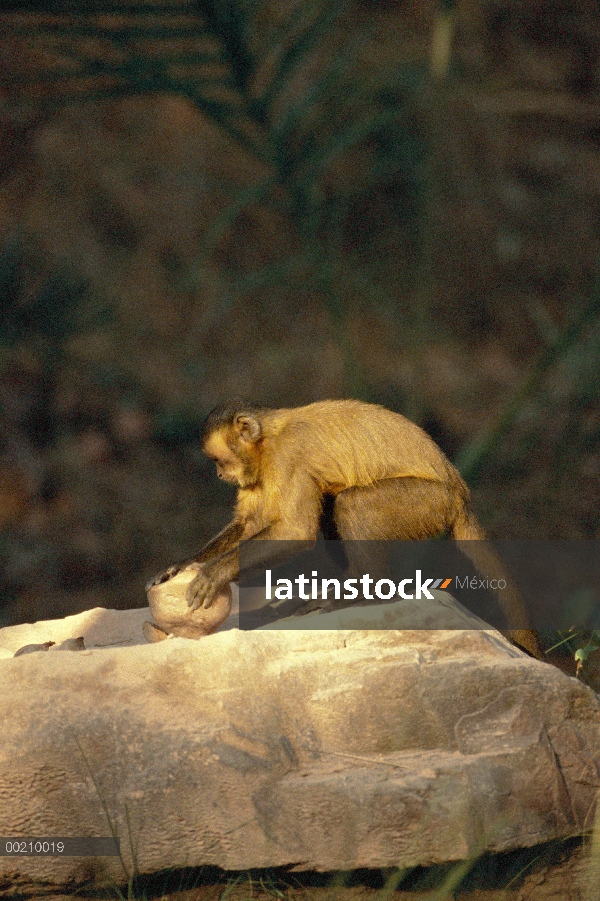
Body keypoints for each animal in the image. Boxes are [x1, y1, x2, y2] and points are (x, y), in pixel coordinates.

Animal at [148, 398, 540, 656]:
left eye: (219, 460)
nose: (219, 474)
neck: (267, 440)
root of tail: (460, 493)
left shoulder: (288, 456)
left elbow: (295, 530)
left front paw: (213, 574)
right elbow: (250, 524)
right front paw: (182, 566)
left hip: (430, 504)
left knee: (353, 504)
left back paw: (366, 592)